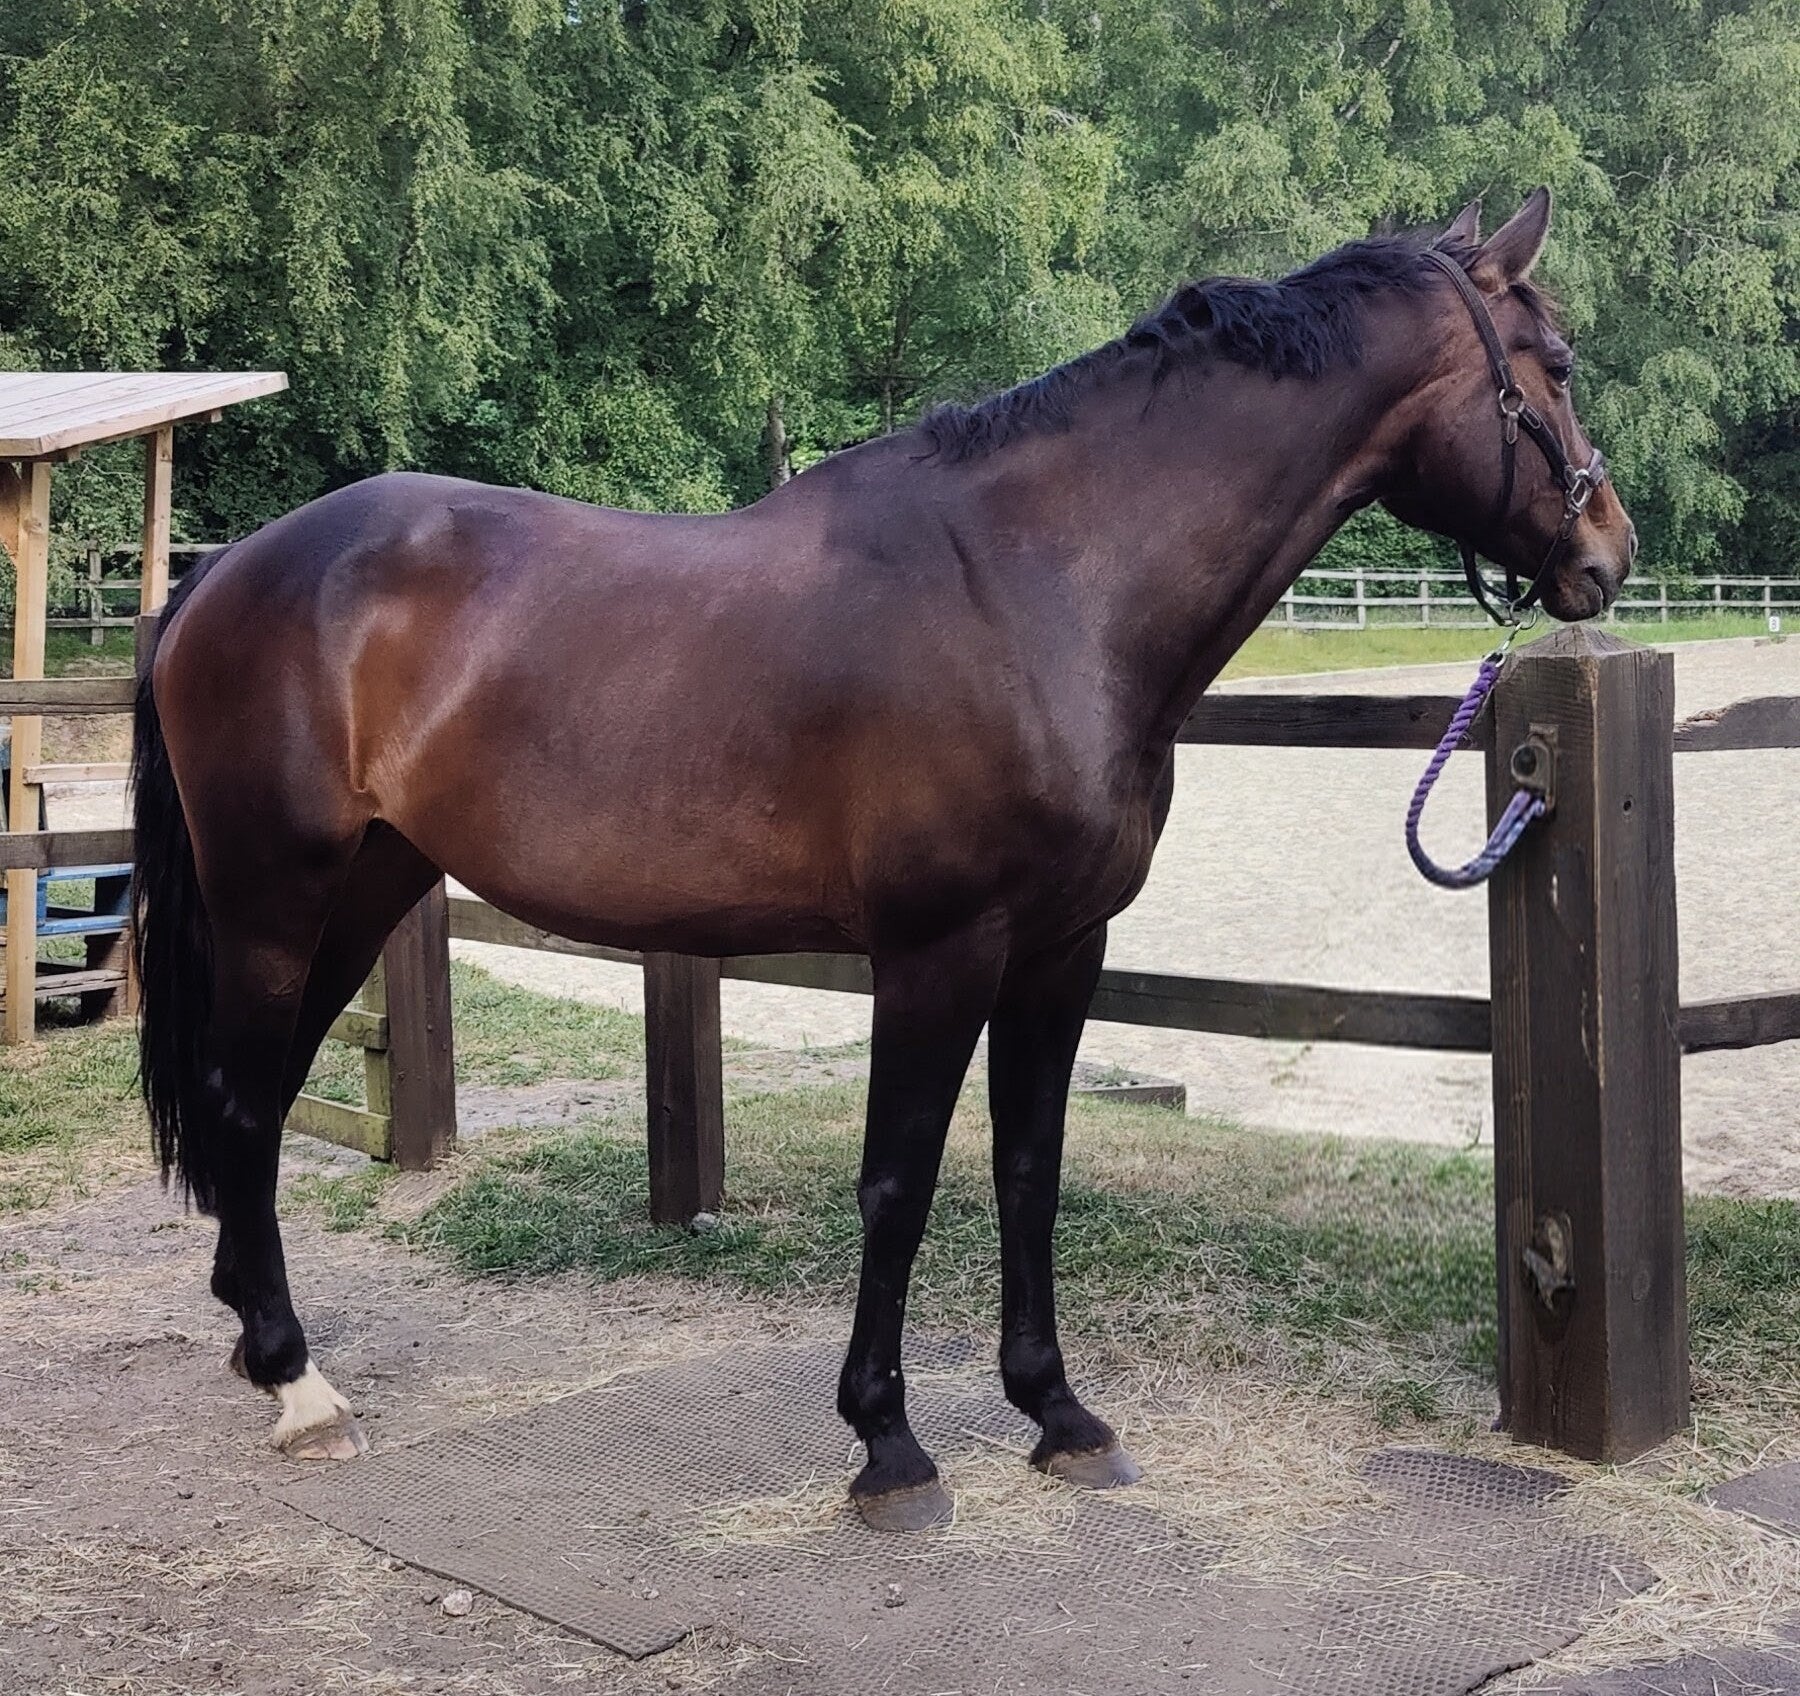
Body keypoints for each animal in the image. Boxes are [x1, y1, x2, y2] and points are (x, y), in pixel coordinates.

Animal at [132, 188, 1634, 1530]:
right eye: (1554, 365)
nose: (1609, 550)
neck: (1042, 587)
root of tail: (222, 575)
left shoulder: (1062, 950)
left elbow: (1028, 1165)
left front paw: (1059, 1414)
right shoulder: (936, 953)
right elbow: (900, 1182)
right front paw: (889, 1445)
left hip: (368, 888)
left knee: (254, 1101)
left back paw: (262, 1349)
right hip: (274, 901)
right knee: (245, 1104)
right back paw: (300, 1385)